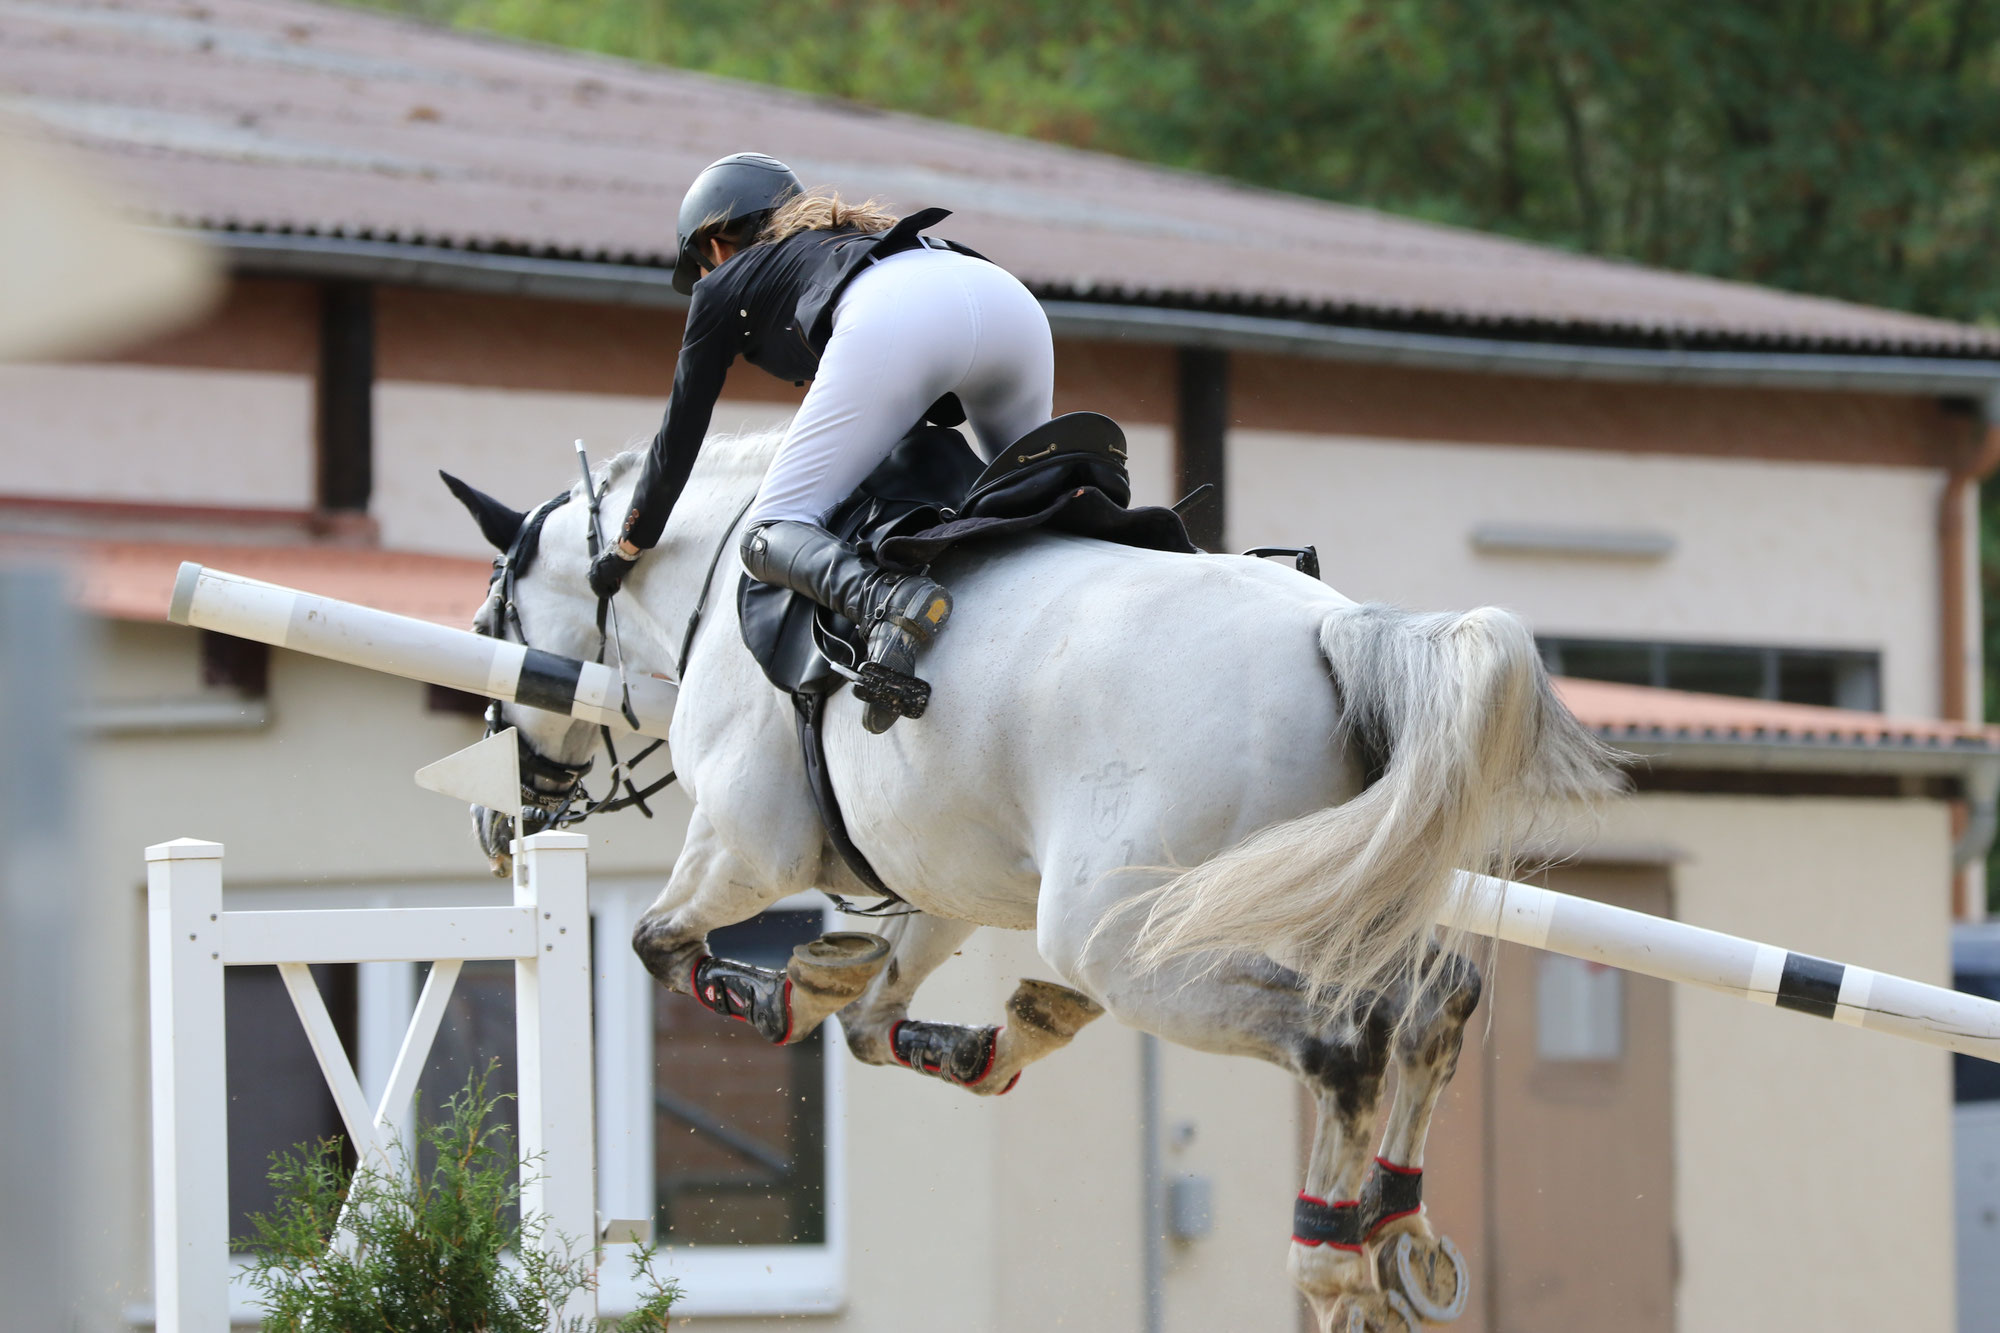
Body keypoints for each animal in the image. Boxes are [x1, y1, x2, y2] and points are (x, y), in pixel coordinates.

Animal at [446, 428, 1616, 1328]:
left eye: (488, 621)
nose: (499, 819)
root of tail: (1333, 627)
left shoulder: (744, 845)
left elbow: (660, 942)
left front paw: (780, 994)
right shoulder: (935, 878)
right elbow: (869, 1021)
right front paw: (949, 1022)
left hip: (1134, 939)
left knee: (1343, 1038)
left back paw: (1331, 1259)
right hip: (1319, 900)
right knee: (1434, 1001)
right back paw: (1397, 1229)